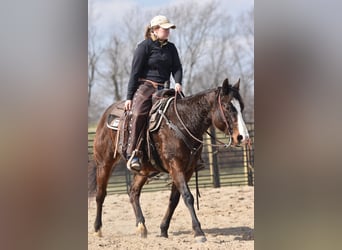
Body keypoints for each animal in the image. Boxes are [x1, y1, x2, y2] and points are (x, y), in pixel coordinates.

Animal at [88, 77, 248, 242]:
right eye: (227, 107)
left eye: (241, 107)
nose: (243, 137)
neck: (182, 123)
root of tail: (107, 113)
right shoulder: (175, 167)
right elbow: (188, 196)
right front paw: (199, 232)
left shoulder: (188, 170)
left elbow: (174, 199)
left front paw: (163, 229)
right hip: (104, 163)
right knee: (100, 194)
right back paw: (97, 229)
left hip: (143, 170)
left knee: (133, 192)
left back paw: (141, 227)